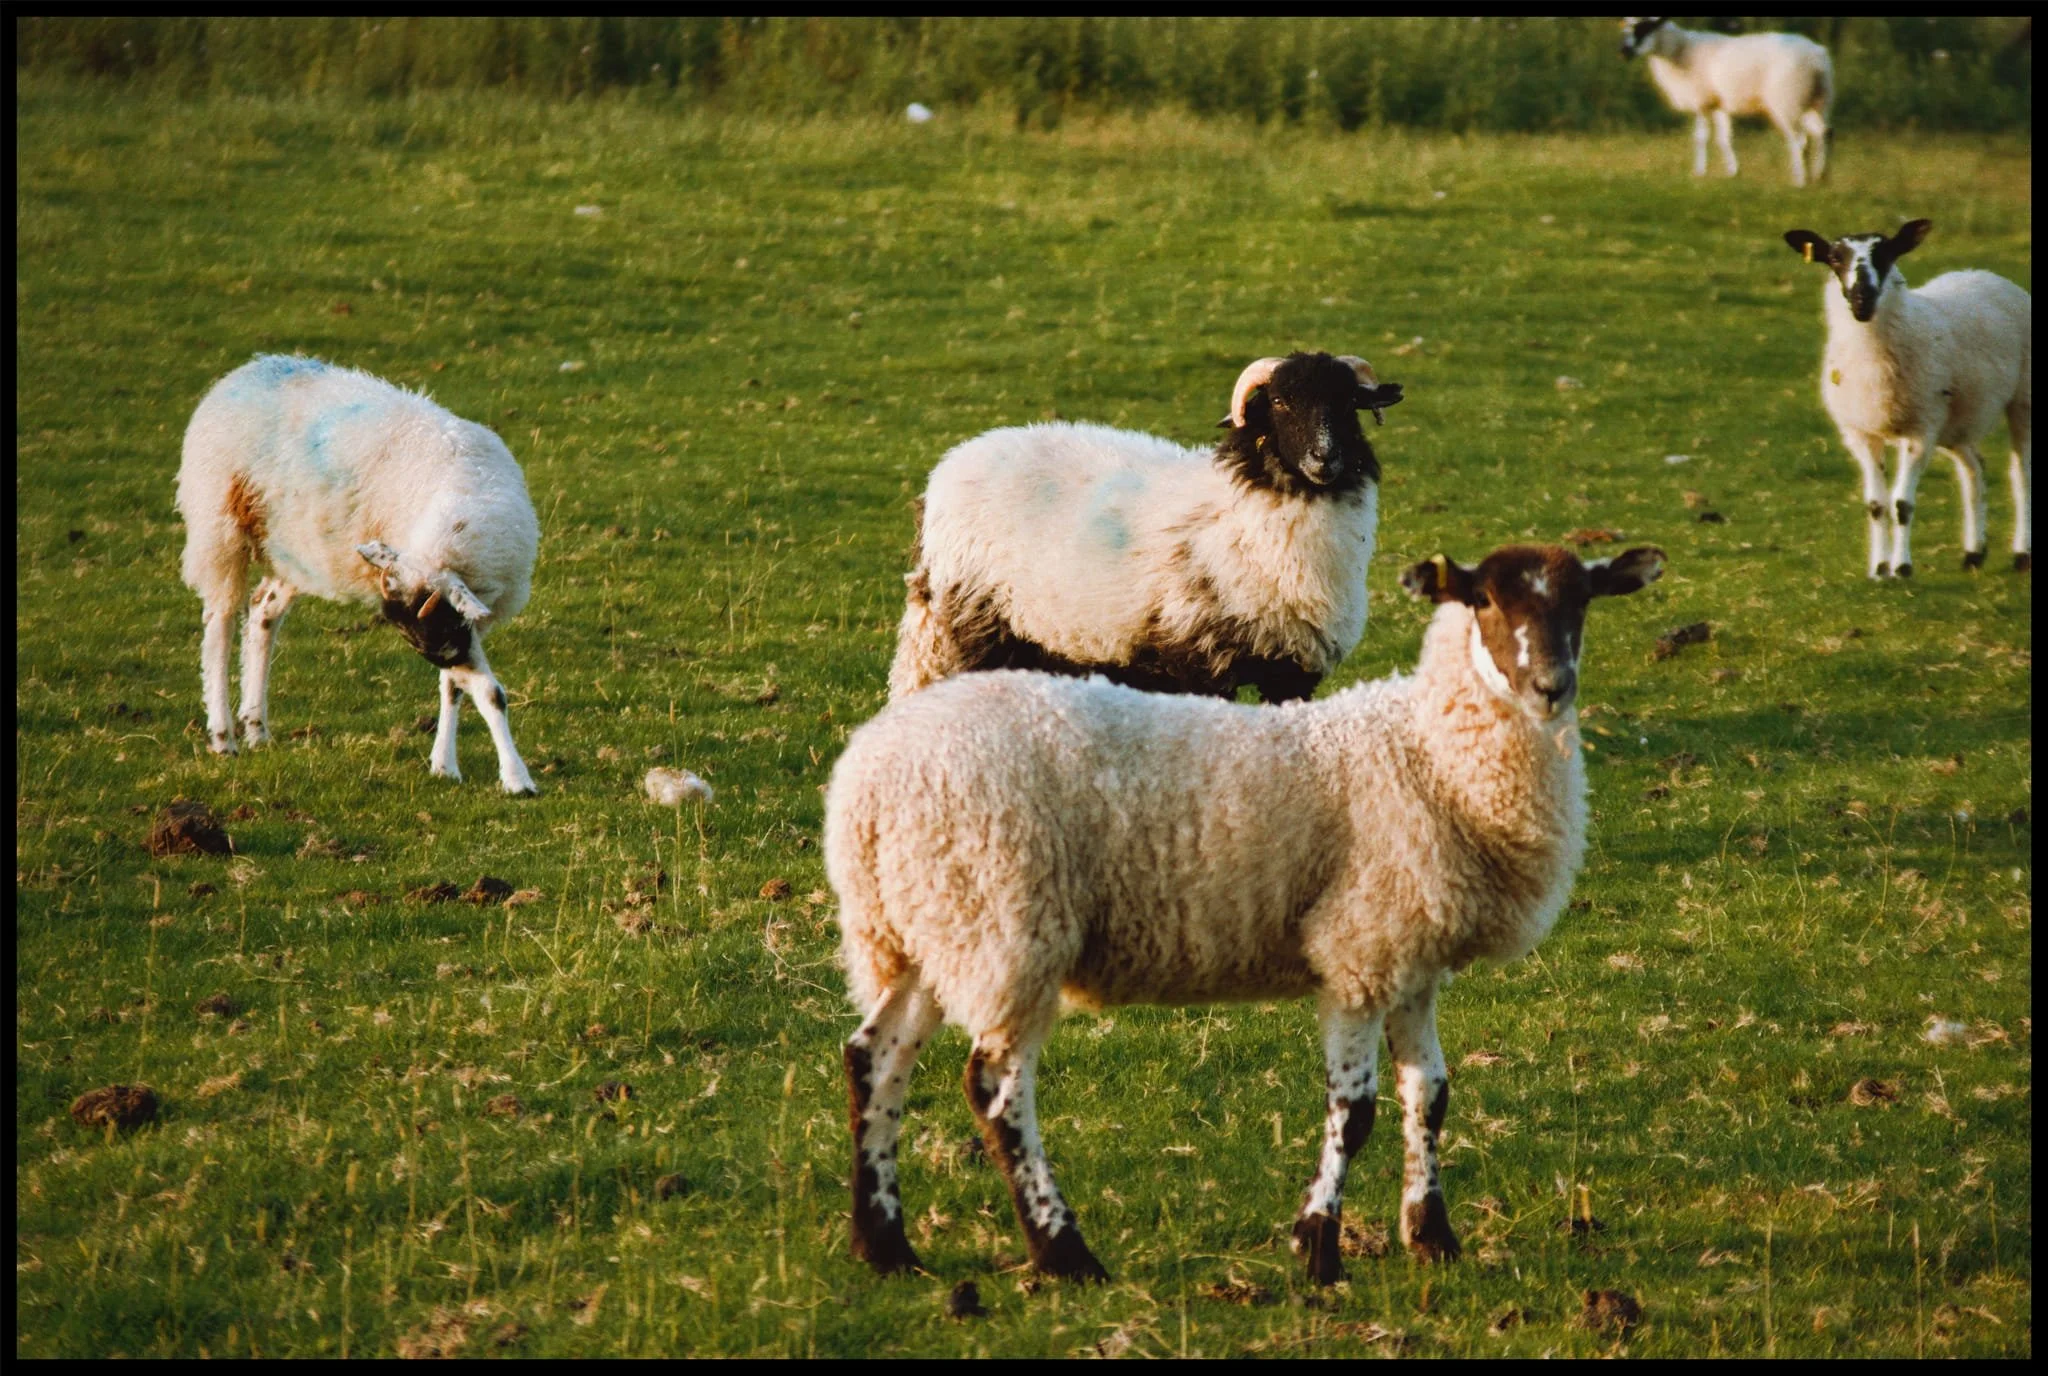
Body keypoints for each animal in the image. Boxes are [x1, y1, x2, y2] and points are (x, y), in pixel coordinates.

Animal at [176, 354, 543, 793]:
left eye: (436, 639)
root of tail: (249, 368)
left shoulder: (466, 624)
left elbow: (456, 688)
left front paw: (445, 764)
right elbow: (484, 692)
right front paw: (515, 777)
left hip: (291, 545)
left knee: (263, 612)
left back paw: (257, 727)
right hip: (220, 524)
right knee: (221, 622)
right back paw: (223, 736)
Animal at [828, 540, 1667, 1285]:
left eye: (1582, 600)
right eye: (1484, 599)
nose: (1551, 686)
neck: (1424, 749)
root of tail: (866, 779)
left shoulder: (1412, 955)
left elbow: (1428, 1095)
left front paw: (1432, 1237)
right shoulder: (1361, 947)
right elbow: (1354, 1109)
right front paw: (1318, 1249)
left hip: (926, 926)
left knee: (876, 1058)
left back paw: (885, 1246)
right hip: (1004, 922)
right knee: (997, 1090)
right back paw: (1064, 1254)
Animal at [888, 351, 1405, 704]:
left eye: (1349, 404)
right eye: (1279, 401)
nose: (1324, 458)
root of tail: (955, 461)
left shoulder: (1293, 672)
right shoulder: (1203, 665)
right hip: (968, 626)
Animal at [1619, 18, 1833, 188]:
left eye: (1644, 27)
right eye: (1626, 27)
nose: (1624, 51)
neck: (1680, 50)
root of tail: (1815, 58)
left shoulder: (1702, 101)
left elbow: (1700, 137)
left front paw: (1699, 172)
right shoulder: (1719, 104)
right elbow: (1724, 138)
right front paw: (1733, 172)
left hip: (1788, 99)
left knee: (1799, 140)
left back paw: (1800, 181)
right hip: (1819, 100)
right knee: (1823, 132)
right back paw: (1820, 176)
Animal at [1783, 219, 2032, 577]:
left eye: (1886, 253)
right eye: (1834, 257)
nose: (1862, 298)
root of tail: (1985, 274)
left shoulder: (1919, 431)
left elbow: (1902, 504)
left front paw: (1901, 567)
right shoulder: (1862, 433)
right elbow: (1876, 505)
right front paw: (1879, 569)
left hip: (2021, 399)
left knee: (2021, 473)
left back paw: (2022, 553)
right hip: (1952, 421)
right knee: (1974, 467)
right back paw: (1974, 552)